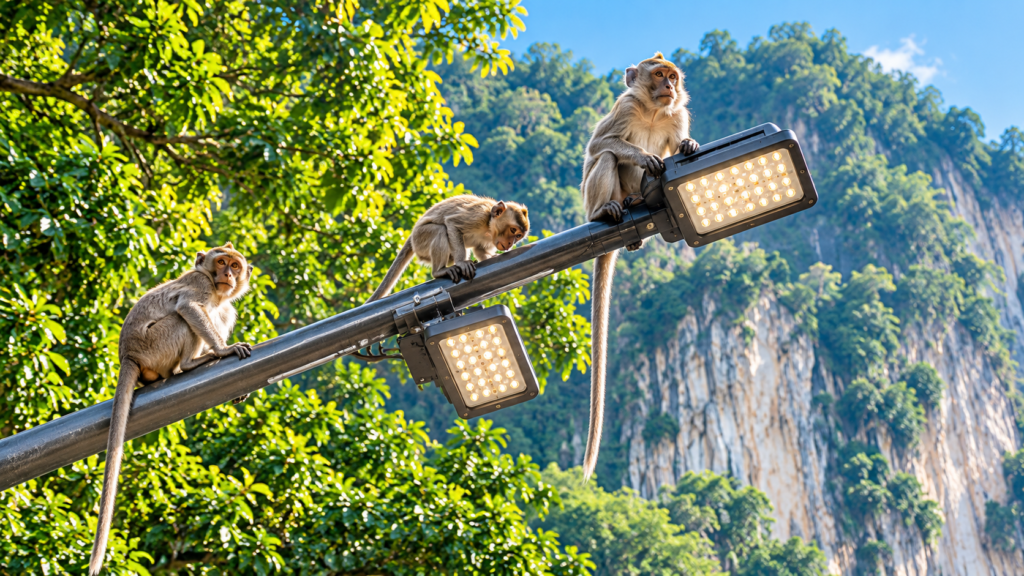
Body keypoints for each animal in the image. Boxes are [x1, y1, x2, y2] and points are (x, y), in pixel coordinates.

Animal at [89, 242, 254, 576]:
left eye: (235, 266)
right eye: (221, 262)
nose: (228, 275)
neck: (215, 288)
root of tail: (128, 356)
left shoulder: (226, 303)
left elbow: (222, 312)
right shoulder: (201, 284)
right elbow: (189, 308)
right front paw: (223, 349)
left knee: (215, 315)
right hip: (155, 345)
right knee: (183, 317)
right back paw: (191, 363)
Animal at [366, 194, 530, 302]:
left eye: (518, 236)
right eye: (513, 230)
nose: (510, 244)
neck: (488, 226)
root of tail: (412, 236)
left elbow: (479, 250)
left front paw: (491, 257)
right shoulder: (477, 216)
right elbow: (452, 224)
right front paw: (462, 263)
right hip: (420, 239)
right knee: (440, 230)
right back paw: (439, 271)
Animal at [579, 53, 699, 483]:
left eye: (673, 77)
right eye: (659, 74)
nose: (670, 86)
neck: (652, 111)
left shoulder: (678, 114)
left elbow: (676, 145)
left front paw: (688, 144)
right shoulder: (626, 106)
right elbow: (600, 145)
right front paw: (643, 155)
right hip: (598, 196)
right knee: (607, 158)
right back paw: (610, 210)